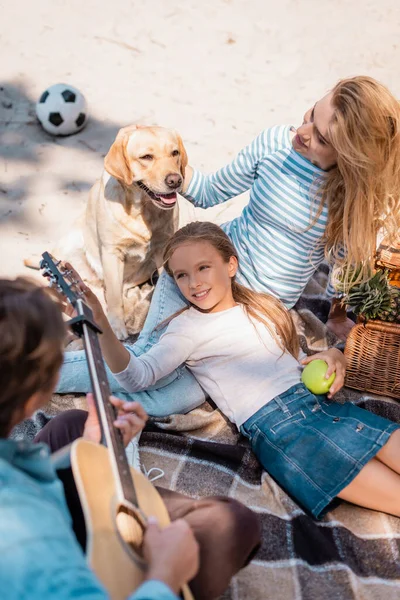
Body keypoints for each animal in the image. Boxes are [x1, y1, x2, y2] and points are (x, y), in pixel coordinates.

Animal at [42, 127, 188, 340]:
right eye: (146, 157)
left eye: (175, 153)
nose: (175, 180)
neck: (142, 210)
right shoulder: (112, 253)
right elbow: (113, 297)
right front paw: (117, 327)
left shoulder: (163, 250)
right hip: (73, 246)